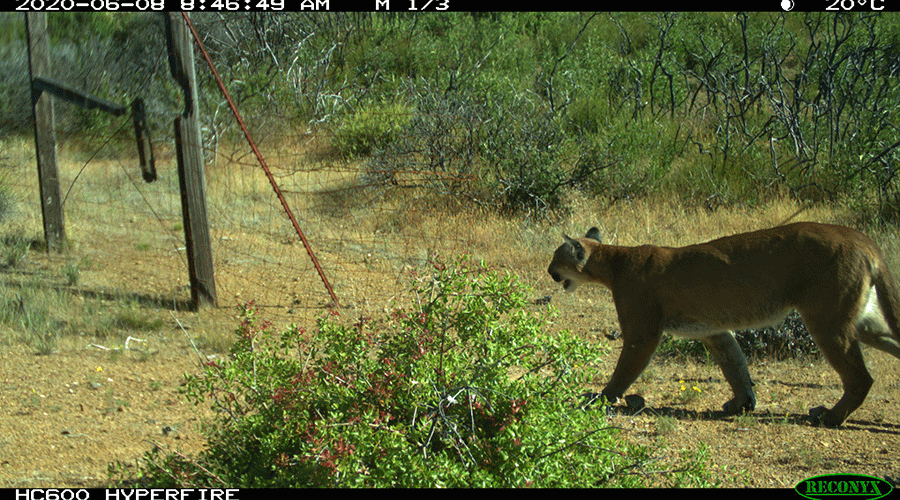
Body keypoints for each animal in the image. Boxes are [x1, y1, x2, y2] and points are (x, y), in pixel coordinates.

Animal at [548, 223, 900, 426]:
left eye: (555, 257)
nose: (549, 271)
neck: (613, 261)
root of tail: (861, 237)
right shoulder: (713, 331)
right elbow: (734, 364)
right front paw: (742, 402)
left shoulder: (642, 332)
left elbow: (624, 368)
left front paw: (601, 397)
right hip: (864, 322)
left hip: (827, 319)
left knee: (861, 378)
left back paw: (829, 416)